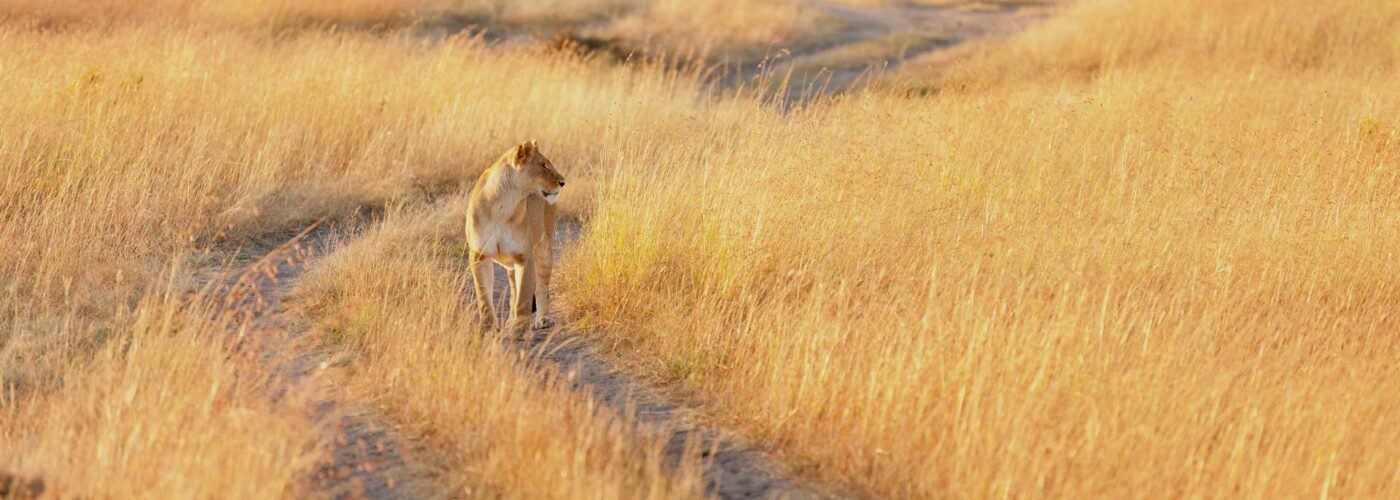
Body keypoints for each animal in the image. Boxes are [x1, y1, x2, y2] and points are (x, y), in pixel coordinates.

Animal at [466, 140, 566, 337]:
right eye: (544, 165)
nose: (563, 182)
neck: (503, 204)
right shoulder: (479, 255)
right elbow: (483, 295)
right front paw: (487, 327)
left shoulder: (524, 255)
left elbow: (524, 295)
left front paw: (520, 329)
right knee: (513, 287)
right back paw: (510, 319)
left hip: (543, 249)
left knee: (542, 286)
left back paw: (543, 319)